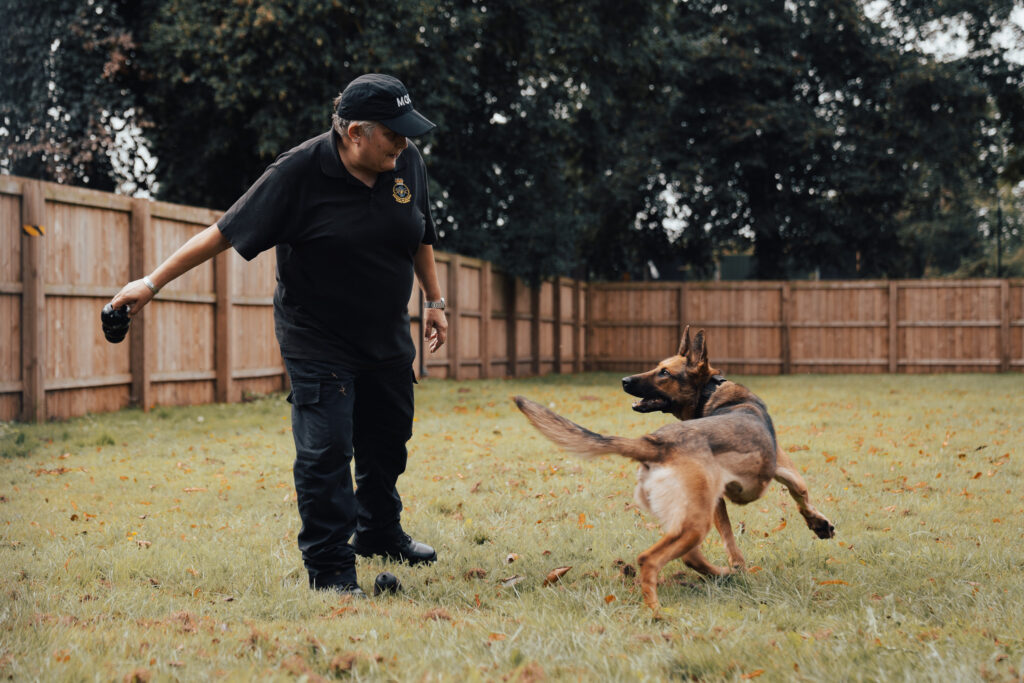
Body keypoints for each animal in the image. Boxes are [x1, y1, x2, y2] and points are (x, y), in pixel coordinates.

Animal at [516, 327, 835, 614]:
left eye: (664, 372)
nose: (624, 380)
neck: (711, 392)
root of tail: (656, 443)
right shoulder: (783, 466)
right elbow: (801, 494)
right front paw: (819, 524)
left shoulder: (717, 501)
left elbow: (731, 536)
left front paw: (738, 565)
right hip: (695, 522)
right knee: (652, 559)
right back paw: (658, 611)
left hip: (689, 517)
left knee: (690, 556)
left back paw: (722, 575)